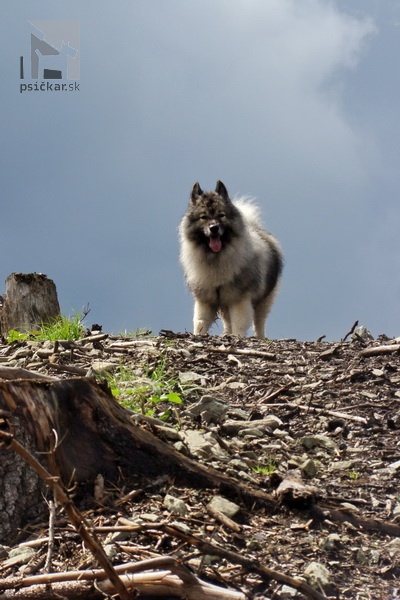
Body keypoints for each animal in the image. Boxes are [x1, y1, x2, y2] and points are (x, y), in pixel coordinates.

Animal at [180, 178, 282, 338]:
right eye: (203, 217)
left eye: (221, 215)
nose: (214, 228)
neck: (216, 258)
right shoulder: (205, 300)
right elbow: (200, 322)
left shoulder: (239, 299)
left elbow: (239, 323)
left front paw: (237, 337)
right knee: (227, 322)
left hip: (264, 300)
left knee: (259, 322)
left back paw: (260, 337)